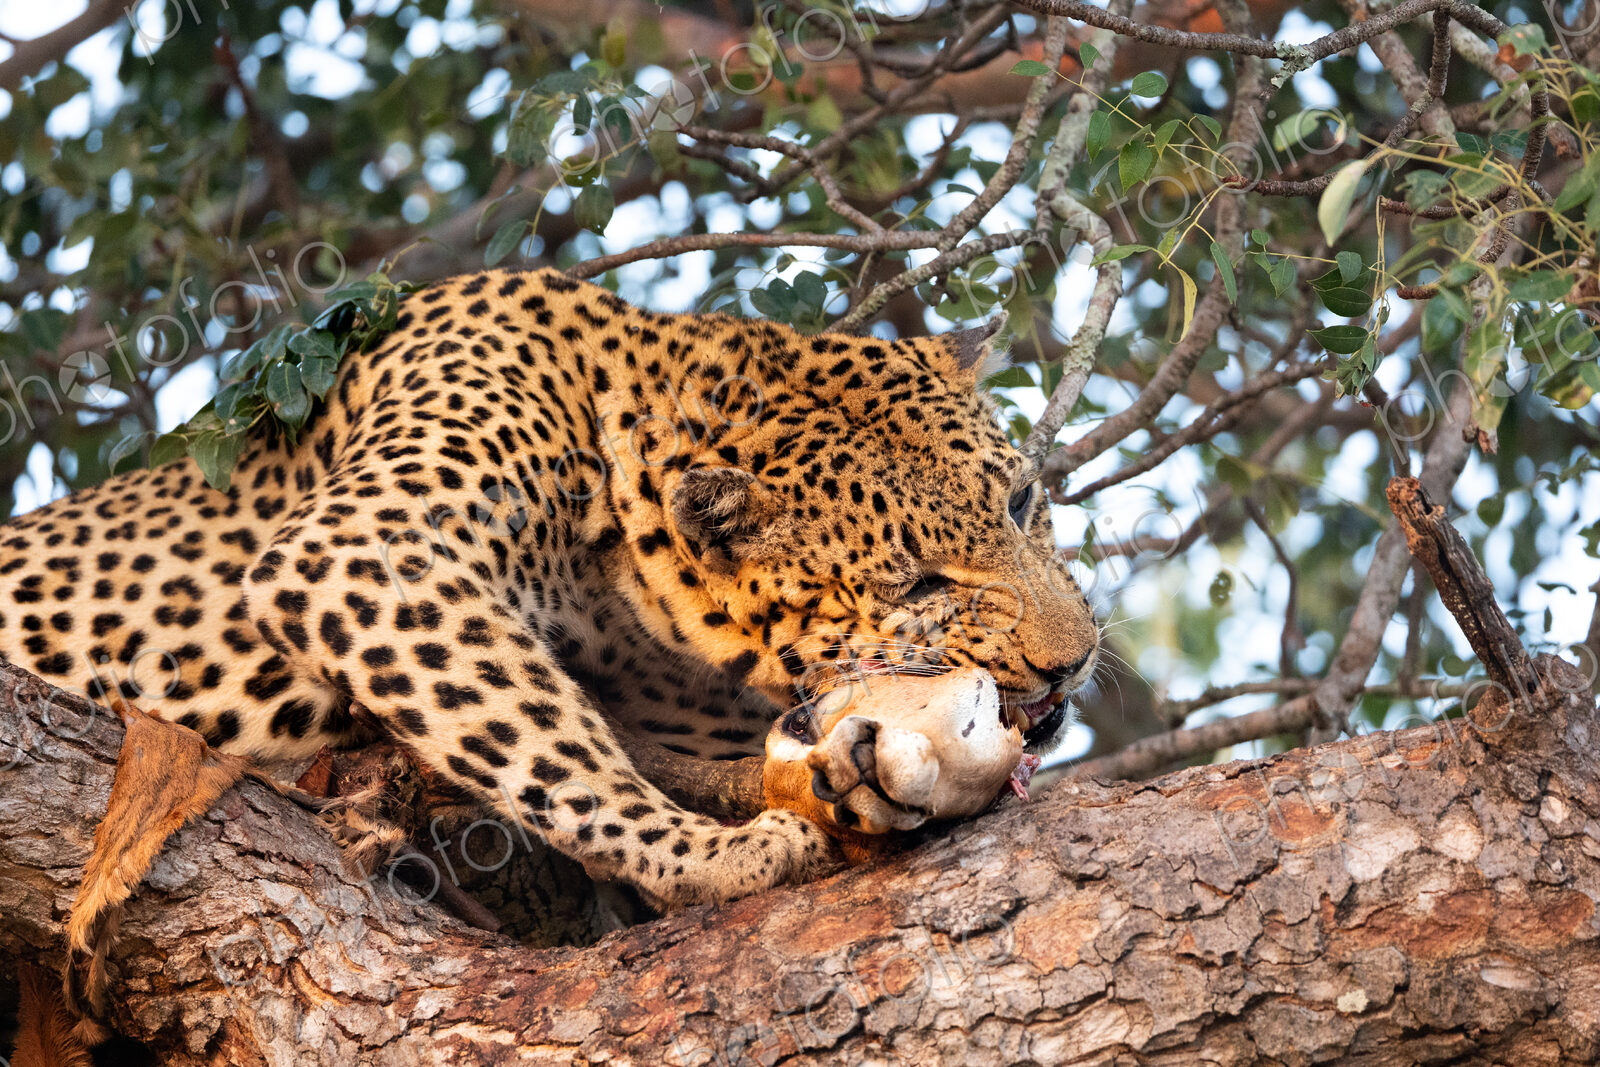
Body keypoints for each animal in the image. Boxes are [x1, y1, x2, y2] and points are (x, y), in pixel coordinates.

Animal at [0, 266, 1100, 907]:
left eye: (1022, 499)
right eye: (919, 583)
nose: (1076, 657)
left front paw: (847, 780)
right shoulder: (364, 547)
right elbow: (548, 749)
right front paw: (706, 855)